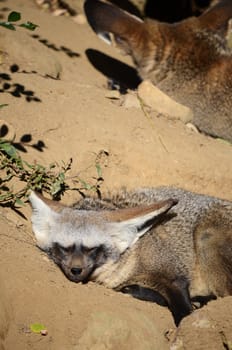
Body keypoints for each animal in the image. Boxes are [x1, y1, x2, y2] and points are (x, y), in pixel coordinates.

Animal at [29, 187, 232, 326]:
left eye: (92, 249)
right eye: (64, 248)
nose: (76, 270)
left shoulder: (173, 274)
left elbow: (183, 311)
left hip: (206, 238)